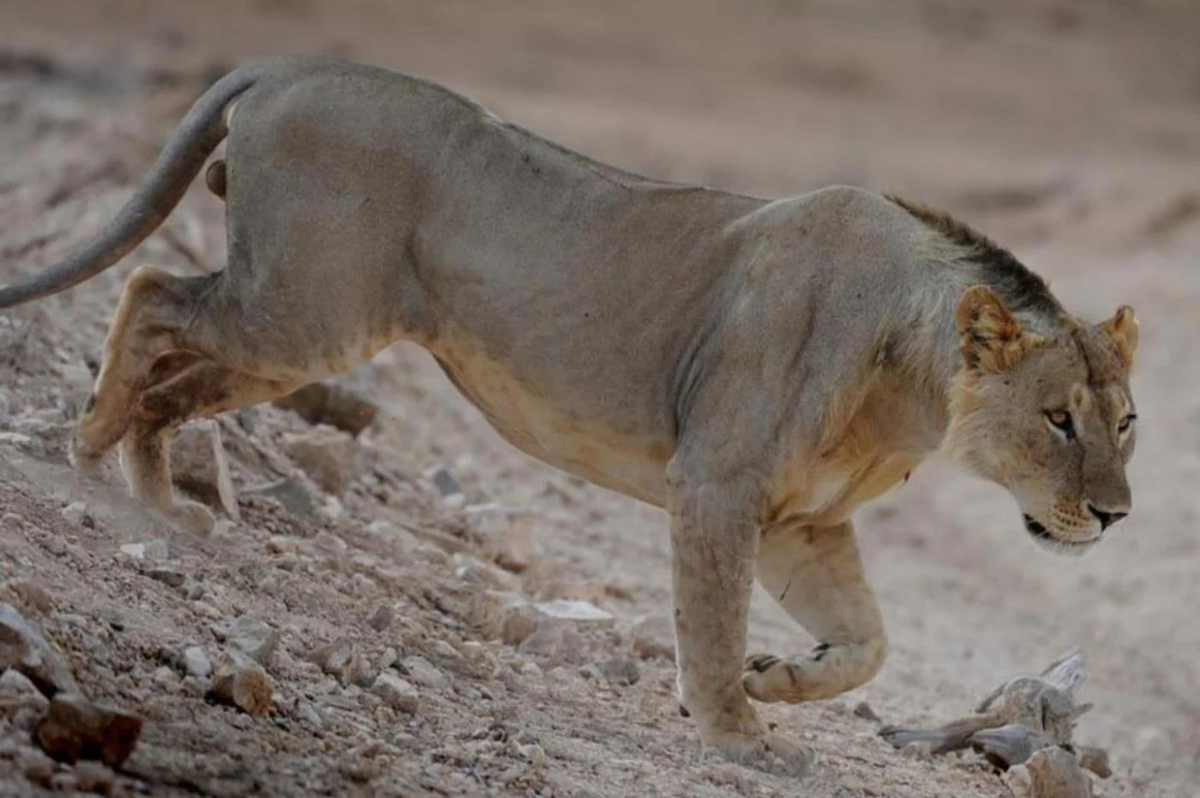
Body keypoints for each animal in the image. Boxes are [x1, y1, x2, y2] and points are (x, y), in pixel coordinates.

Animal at [0, 59, 1137, 772]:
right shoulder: (717, 485)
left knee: (172, 367)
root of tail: (283, 68)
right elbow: (710, 622)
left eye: (1126, 424)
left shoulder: (804, 523)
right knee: (150, 293)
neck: (914, 384)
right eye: (1059, 420)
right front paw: (740, 737)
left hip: (294, 330)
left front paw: (778, 680)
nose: (1116, 517)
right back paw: (90, 455)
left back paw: (156, 502)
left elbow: (869, 643)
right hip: (302, 315)